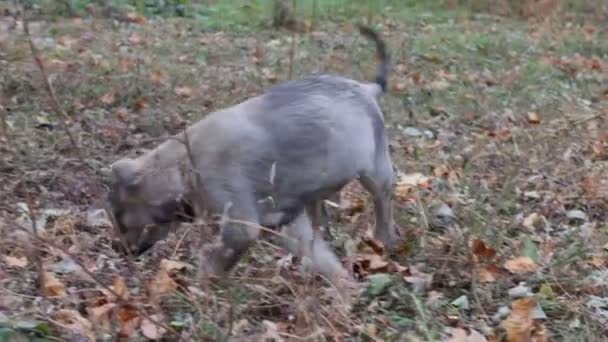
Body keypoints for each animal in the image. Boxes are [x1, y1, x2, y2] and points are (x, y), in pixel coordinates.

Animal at [107, 24, 396, 284]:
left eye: (119, 218)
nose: (116, 249)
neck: (184, 165)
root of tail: (365, 87)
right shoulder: (288, 221)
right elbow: (322, 258)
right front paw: (345, 290)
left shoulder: (242, 226)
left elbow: (213, 264)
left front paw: (198, 290)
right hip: (318, 193)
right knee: (321, 222)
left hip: (377, 173)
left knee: (383, 208)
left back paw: (383, 243)